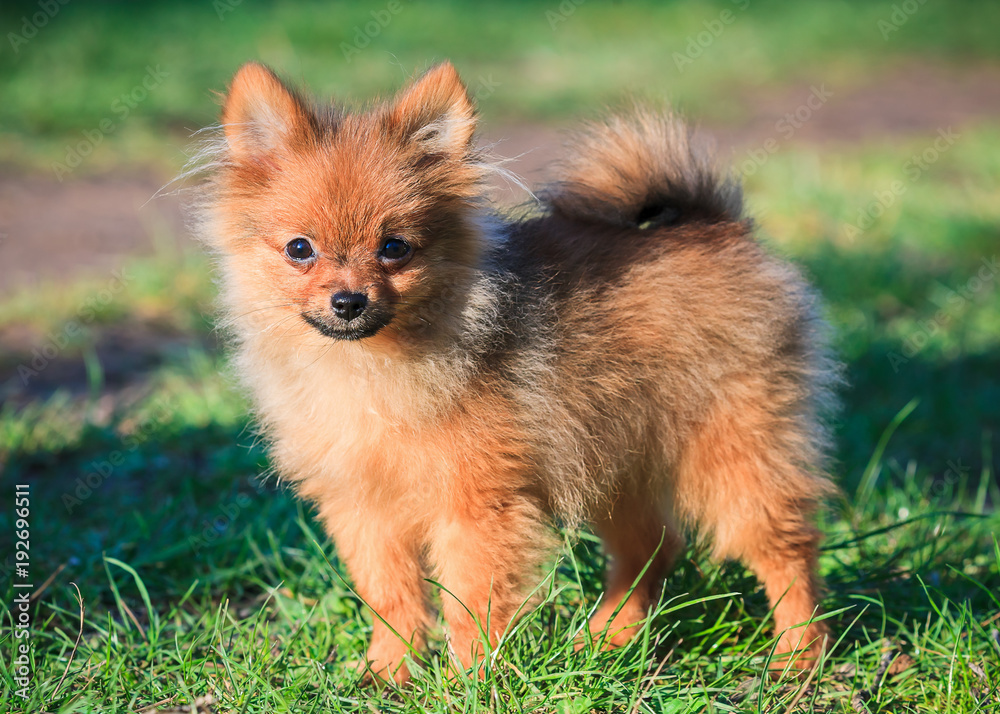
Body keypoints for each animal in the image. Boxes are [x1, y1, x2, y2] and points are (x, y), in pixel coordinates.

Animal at [193, 59, 836, 680]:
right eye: (299, 249)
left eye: (395, 248)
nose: (348, 301)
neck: (370, 366)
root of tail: (718, 224)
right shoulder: (364, 505)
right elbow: (390, 595)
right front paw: (387, 671)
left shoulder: (476, 507)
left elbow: (470, 601)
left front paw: (469, 680)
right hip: (613, 460)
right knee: (651, 548)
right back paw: (607, 640)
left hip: (734, 453)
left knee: (786, 550)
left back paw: (797, 656)